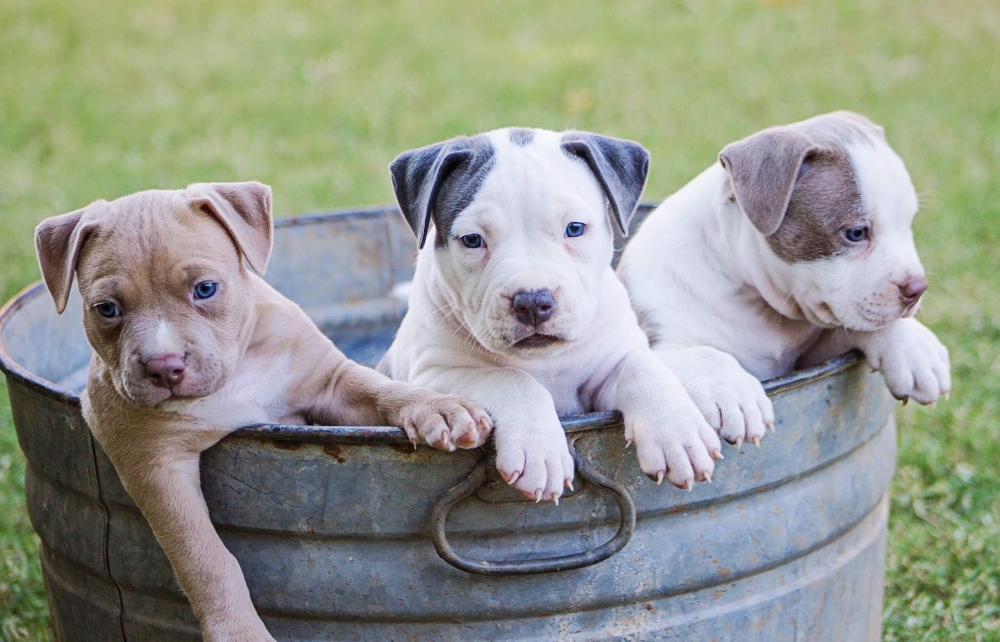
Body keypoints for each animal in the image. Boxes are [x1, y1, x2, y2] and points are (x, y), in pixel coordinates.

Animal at [33, 181, 494, 640]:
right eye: (107, 309)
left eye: (205, 289)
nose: (164, 366)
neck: (236, 373)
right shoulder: (155, 465)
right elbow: (204, 556)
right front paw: (239, 631)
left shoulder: (332, 384)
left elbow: (381, 390)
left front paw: (438, 408)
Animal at [378, 127, 724, 502]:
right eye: (472, 240)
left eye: (575, 228)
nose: (532, 301)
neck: (545, 360)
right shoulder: (435, 374)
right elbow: (513, 379)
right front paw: (539, 452)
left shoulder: (608, 367)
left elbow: (642, 368)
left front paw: (677, 432)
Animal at [616, 111, 952, 444]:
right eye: (856, 233)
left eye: (908, 223)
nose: (917, 288)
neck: (758, 304)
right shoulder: (659, 341)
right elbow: (703, 354)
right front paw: (734, 392)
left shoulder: (817, 356)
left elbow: (863, 325)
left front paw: (915, 348)